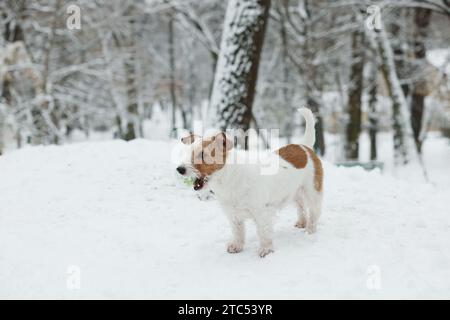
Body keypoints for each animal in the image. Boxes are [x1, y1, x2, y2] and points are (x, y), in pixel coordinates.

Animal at [177, 108, 324, 258]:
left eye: (202, 154)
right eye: (187, 153)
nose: (179, 169)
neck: (228, 177)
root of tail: (304, 146)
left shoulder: (261, 213)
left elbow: (263, 233)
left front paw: (265, 250)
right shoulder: (233, 215)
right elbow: (238, 232)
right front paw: (237, 246)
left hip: (312, 192)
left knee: (314, 212)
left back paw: (310, 230)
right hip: (295, 192)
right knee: (301, 208)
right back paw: (301, 223)